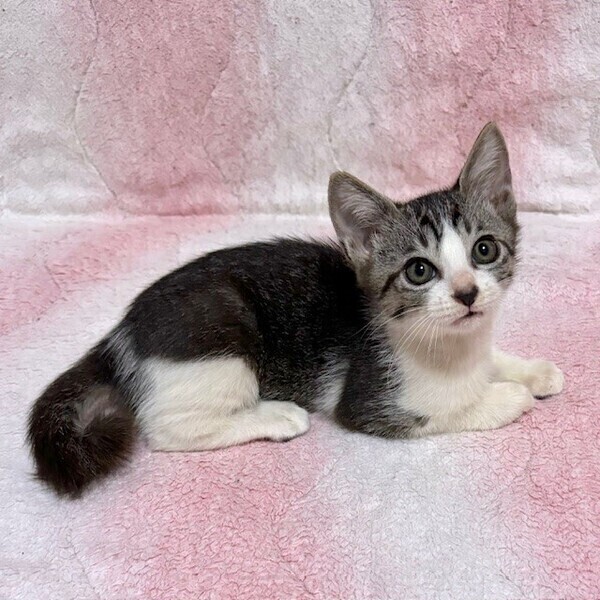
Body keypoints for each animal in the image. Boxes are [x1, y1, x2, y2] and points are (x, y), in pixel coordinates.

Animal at [28, 122, 564, 497]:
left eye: (484, 250)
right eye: (418, 271)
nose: (467, 294)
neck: (445, 344)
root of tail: (121, 331)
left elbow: (492, 359)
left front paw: (531, 370)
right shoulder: (369, 400)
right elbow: (448, 408)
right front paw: (507, 395)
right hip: (221, 337)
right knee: (167, 429)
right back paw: (276, 416)